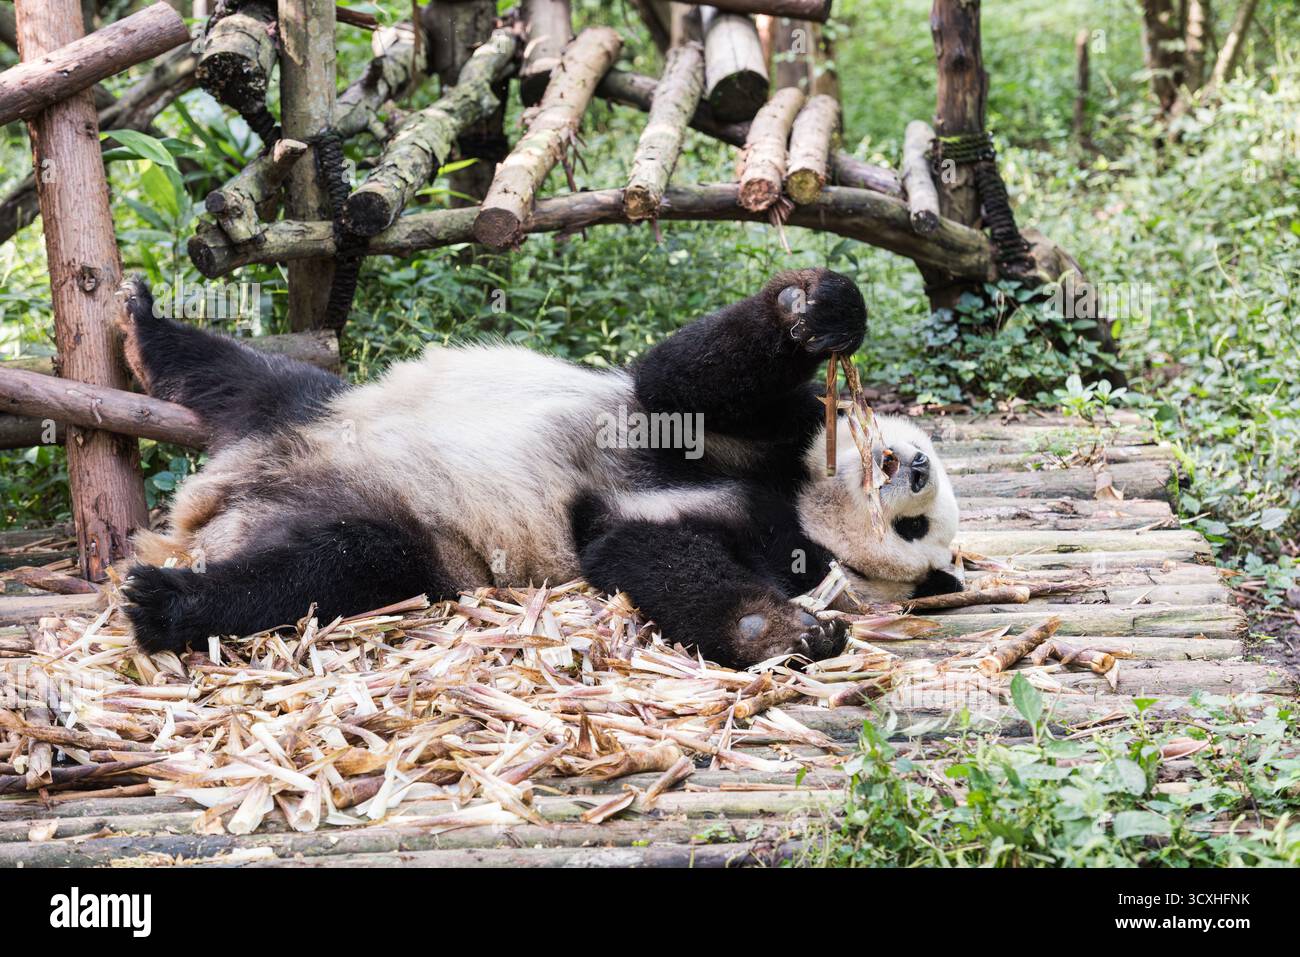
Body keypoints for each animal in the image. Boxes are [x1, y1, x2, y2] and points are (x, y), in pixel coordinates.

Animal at [116, 267, 963, 669]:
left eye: (916, 528)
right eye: (924, 507)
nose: (916, 465)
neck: (797, 493)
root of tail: (217, 501)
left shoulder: (773, 541)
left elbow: (634, 550)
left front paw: (779, 631)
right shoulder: (763, 429)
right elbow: (673, 382)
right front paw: (817, 309)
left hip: (407, 537)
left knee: (332, 566)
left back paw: (170, 601)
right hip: (317, 403)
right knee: (237, 371)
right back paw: (141, 323)